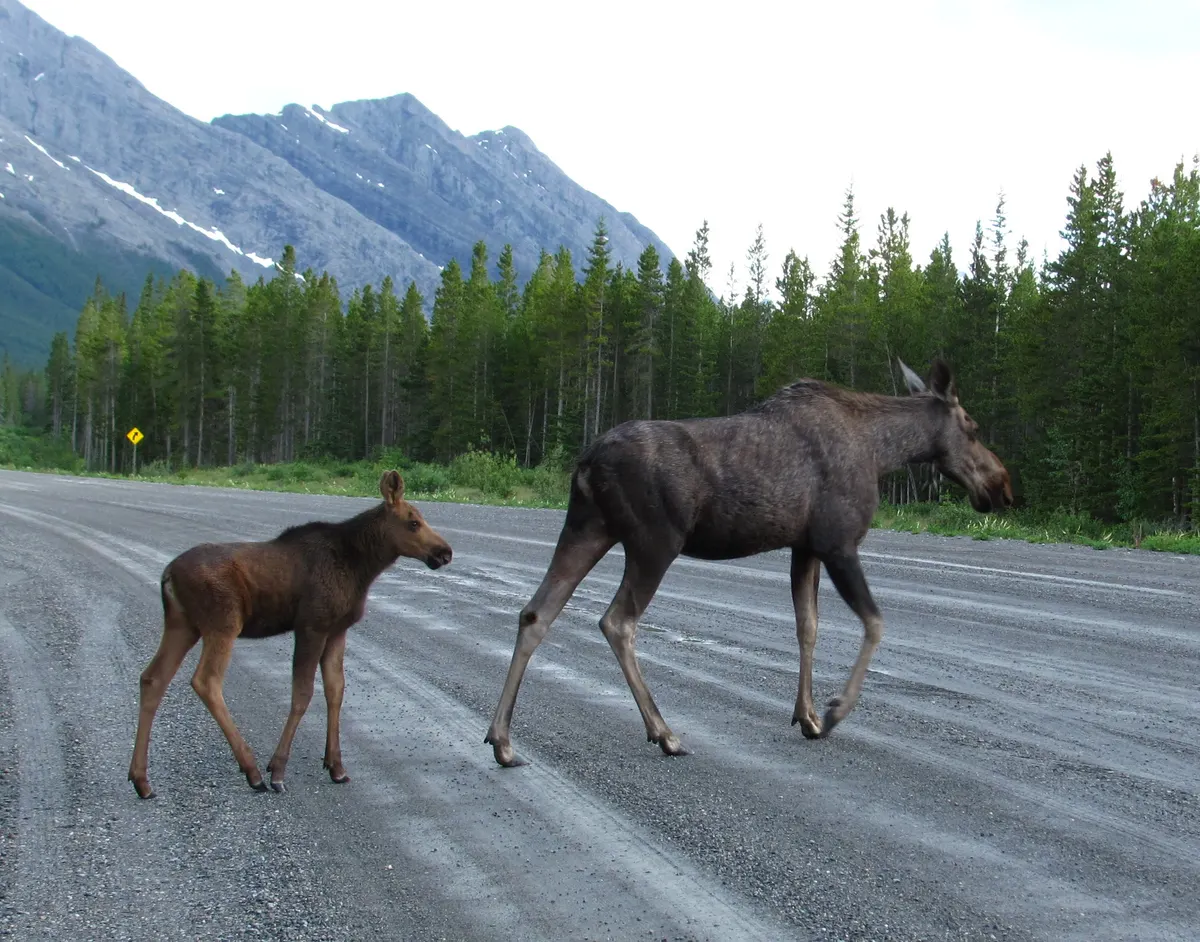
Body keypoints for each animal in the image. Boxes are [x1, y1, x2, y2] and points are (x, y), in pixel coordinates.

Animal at [128, 470, 453, 798]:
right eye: (413, 522)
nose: (445, 552)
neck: (362, 567)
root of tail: (167, 574)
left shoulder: (337, 630)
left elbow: (336, 690)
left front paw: (336, 766)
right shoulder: (312, 625)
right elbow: (302, 693)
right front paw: (278, 770)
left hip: (182, 625)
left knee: (152, 678)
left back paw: (141, 780)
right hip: (223, 623)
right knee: (206, 681)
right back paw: (252, 771)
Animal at [485, 360, 1012, 766]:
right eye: (973, 427)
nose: (1002, 486)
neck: (884, 452)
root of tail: (586, 461)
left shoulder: (805, 547)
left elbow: (808, 626)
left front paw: (807, 714)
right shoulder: (839, 540)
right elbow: (875, 622)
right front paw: (834, 711)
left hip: (588, 527)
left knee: (536, 612)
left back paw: (503, 740)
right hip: (654, 541)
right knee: (617, 621)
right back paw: (664, 732)